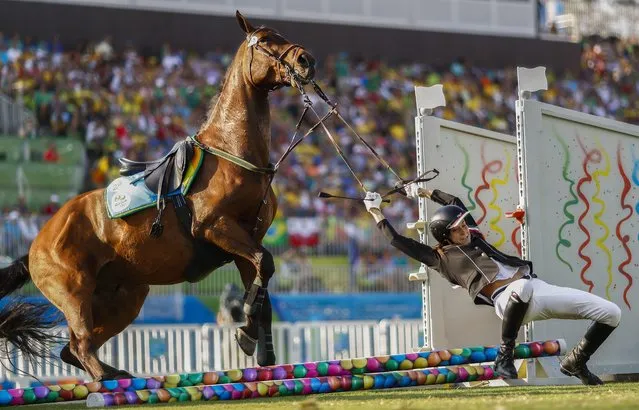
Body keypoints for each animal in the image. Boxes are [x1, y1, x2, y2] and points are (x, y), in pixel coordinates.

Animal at [0, 10, 316, 382]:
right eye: (265, 40)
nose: (306, 60)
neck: (232, 151)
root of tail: (36, 243)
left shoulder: (246, 240)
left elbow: (263, 278)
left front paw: (257, 341)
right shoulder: (215, 226)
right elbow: (264, 266)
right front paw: (247, 330)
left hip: (126, 297)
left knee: (72, 349)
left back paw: (120, 374)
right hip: (74, 291)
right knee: (80, 344)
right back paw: (106, 377)